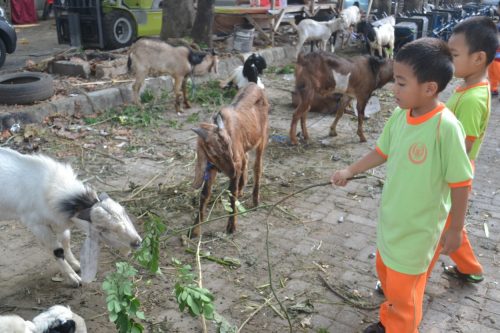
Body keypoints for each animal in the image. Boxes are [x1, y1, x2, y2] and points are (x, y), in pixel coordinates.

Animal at [0, 147, 142, 286]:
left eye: (124, 212)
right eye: (102, 228)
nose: (137, 242)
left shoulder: (60, 220)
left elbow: (66, 241)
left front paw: (76, 265)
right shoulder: (36, 225)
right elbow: (57, 250)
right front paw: (73, 278)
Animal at [190, 82, 270, 236]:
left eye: (228, 144)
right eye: (213, 152)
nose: (231, 172)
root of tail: (254, 85)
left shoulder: (235, 163)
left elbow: (231, 193)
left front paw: (231, 226)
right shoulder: (212, 167)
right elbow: (204, 194)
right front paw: (194, 229)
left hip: (262, 138)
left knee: (257, 167)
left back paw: (255, 200)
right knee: (246, 159)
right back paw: (242, 188)